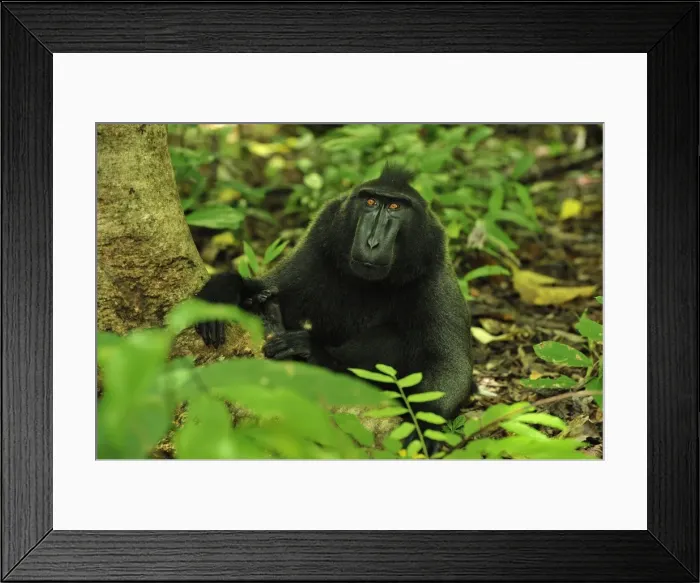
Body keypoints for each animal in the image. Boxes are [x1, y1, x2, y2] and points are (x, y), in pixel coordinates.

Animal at [195, 164, 473, 455]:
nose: (372, 242)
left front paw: (424, 427)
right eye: (370, 202)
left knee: (395, 338)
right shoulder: (319, 241)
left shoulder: (433, 271)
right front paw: (223, 290)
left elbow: (450, 363)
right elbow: (271, 285)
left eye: (395, 206)